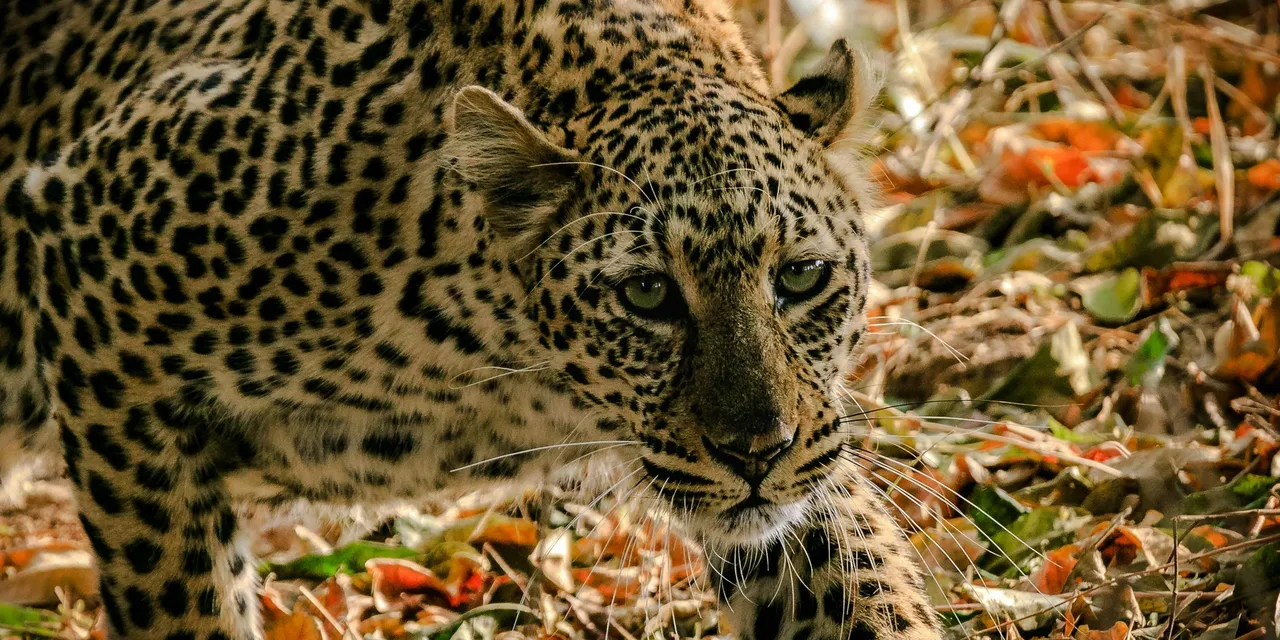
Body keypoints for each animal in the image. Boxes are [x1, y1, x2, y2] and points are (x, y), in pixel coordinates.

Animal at [0, 0, 944, 638]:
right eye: (646, 294)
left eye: (801, 277)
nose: (755, 452)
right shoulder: (97, 284)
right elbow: (186, 601)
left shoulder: (802, 459)